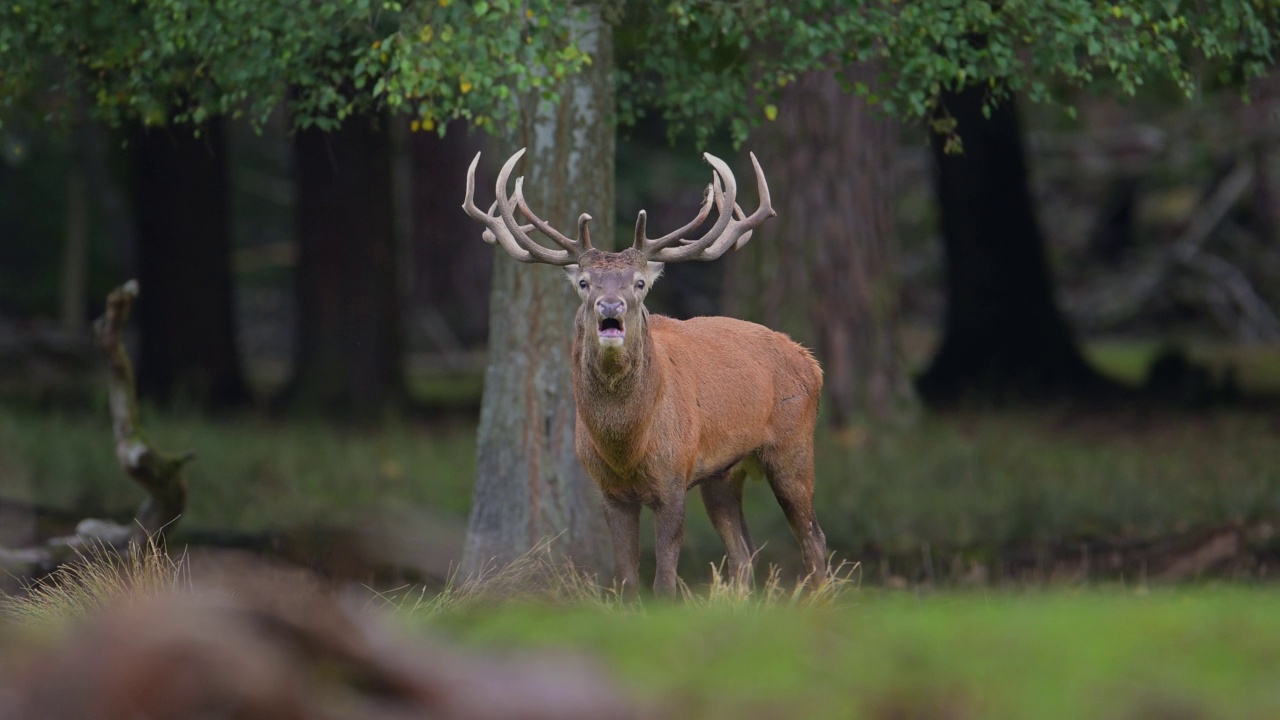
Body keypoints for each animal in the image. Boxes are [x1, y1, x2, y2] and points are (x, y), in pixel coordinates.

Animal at [460, 147, 829, 594]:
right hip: (723, 474)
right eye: (584, 282)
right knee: (744, 554)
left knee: (812, 536)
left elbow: (665, 582)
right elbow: (625, 580)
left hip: (792, 447)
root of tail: (812, 362)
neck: (626, 445)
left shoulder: (673, 478)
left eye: (639, 282)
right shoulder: (610, 492)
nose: (611, 305)